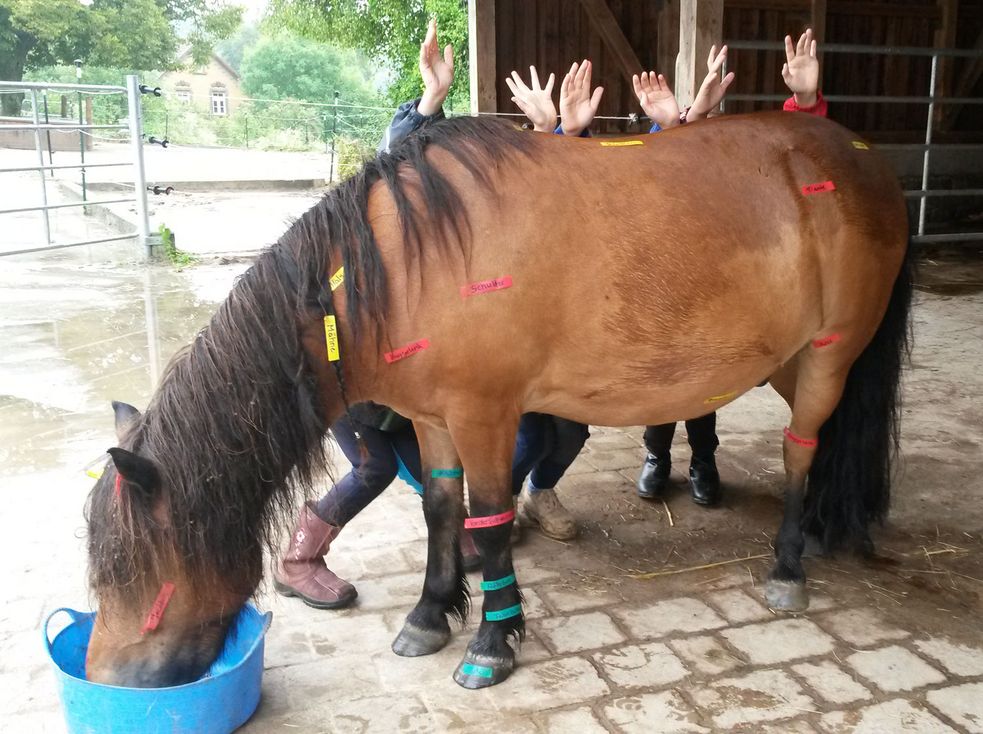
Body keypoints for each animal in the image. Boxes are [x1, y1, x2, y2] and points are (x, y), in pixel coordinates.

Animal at [84, 112, 916, 692]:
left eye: (132, 570)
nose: (106, 679)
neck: (396, 268)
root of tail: (864, 159)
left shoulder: (484, 414)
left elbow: (485, 522)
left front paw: (491, 641)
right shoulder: (433, 420)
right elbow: (439, 512)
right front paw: (429, 616)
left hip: (827, 355)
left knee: (801, 450)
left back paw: (787, 566)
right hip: (790, 361)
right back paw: (819, 529)